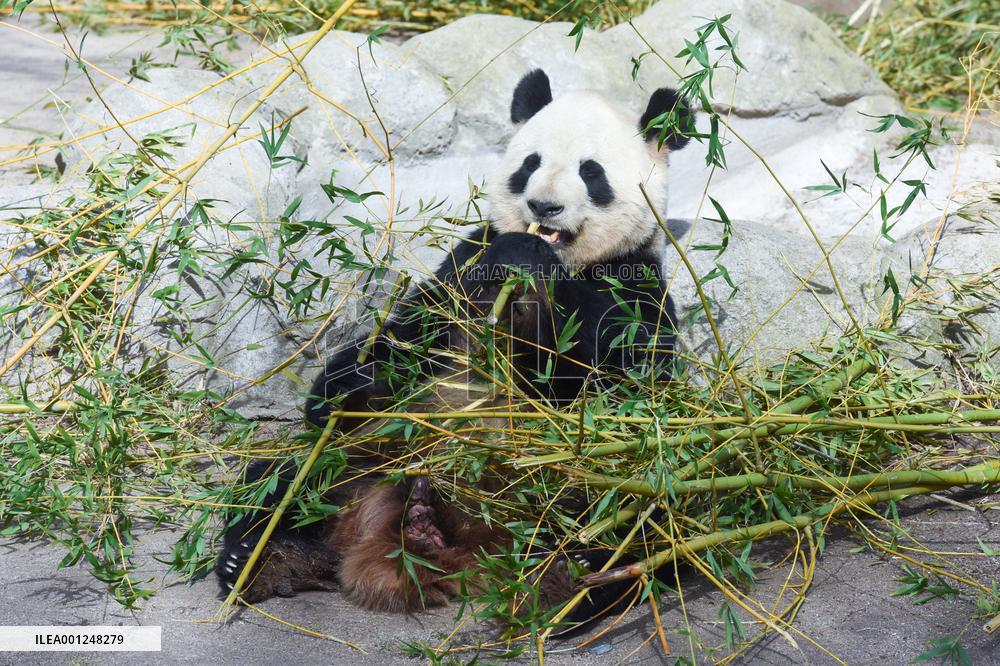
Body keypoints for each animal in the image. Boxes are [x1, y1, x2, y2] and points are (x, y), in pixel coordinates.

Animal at [216, 69, 692, 616]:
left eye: (591, 172)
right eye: (530, 165)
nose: (543, 207)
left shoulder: (635, 282)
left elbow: (618, 370)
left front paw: (532, 268)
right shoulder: (462, 268)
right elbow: (399, 342)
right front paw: (353, 383)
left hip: (595, 490)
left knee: (636, 520)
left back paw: (578, 587)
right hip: (361, 464)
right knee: (281, 482)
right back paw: (260, 560)